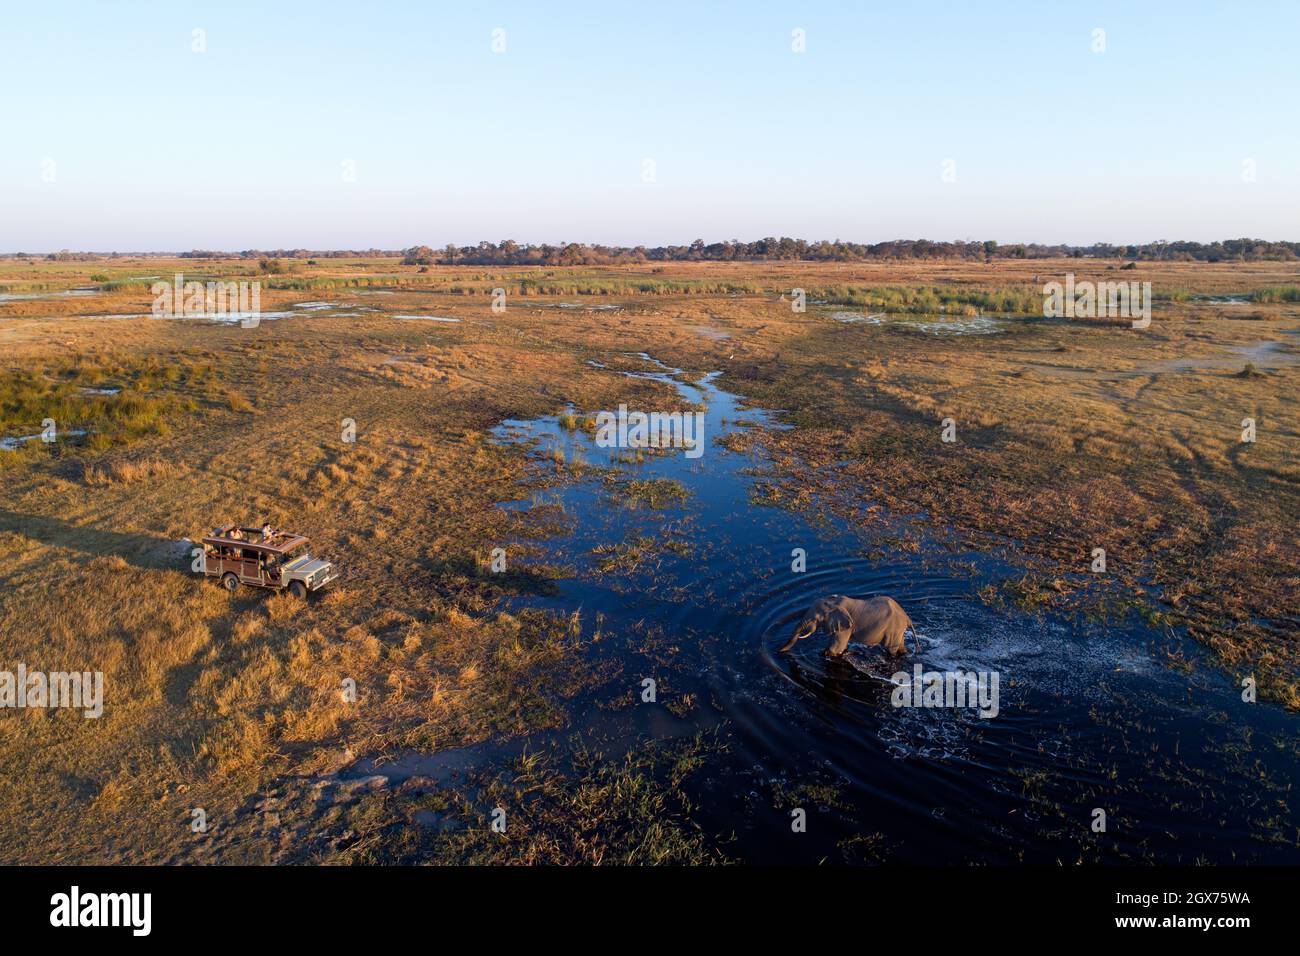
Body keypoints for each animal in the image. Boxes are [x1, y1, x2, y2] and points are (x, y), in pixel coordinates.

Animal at [779, 594, 918, 657]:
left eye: (815, 619)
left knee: (891, 649)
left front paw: (824, 654)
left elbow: (836, 648)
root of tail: (907, 618)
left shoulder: (847, 626)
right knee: (900, 646)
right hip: (898, 630)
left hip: (893, 629)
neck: (834, 602)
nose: (779, 651)